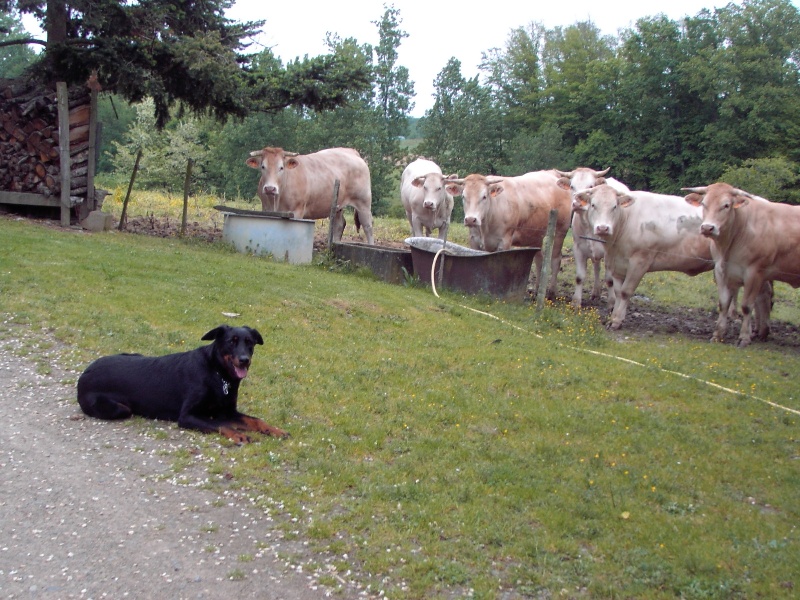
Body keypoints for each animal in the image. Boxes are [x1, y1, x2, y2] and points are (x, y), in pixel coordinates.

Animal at [76, 326, 290, 442]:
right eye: (232, 341)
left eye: (250, 342)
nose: (244, 360)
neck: (218, 374)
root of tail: (84, 373)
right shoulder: (187, 416)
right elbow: (218, 423)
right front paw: (237, 434)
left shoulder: (228, 411)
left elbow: (255, 420)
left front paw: (275, 430)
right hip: (119, 408)